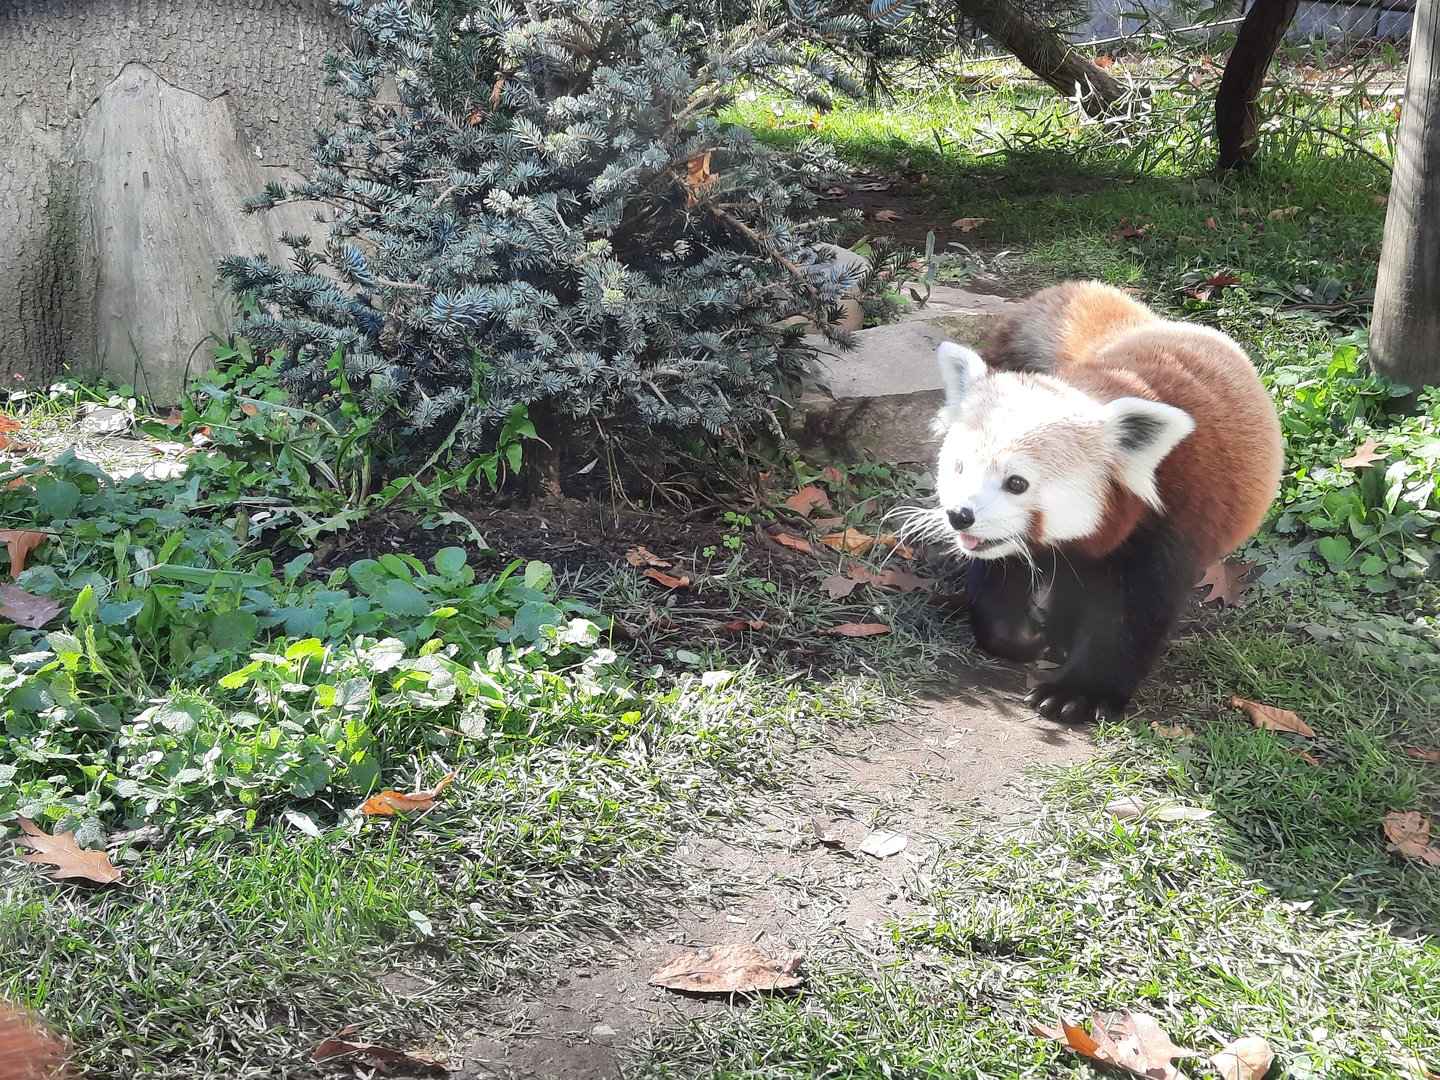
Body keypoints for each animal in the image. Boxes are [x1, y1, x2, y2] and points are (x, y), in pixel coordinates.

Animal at [930, 281, 1283, 722]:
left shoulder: (1169, 523)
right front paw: (1025, 638)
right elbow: (999, 578)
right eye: (960, 467)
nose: (960, 516)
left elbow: (1128, 617)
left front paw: (1076, 693)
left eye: (1016, 483)